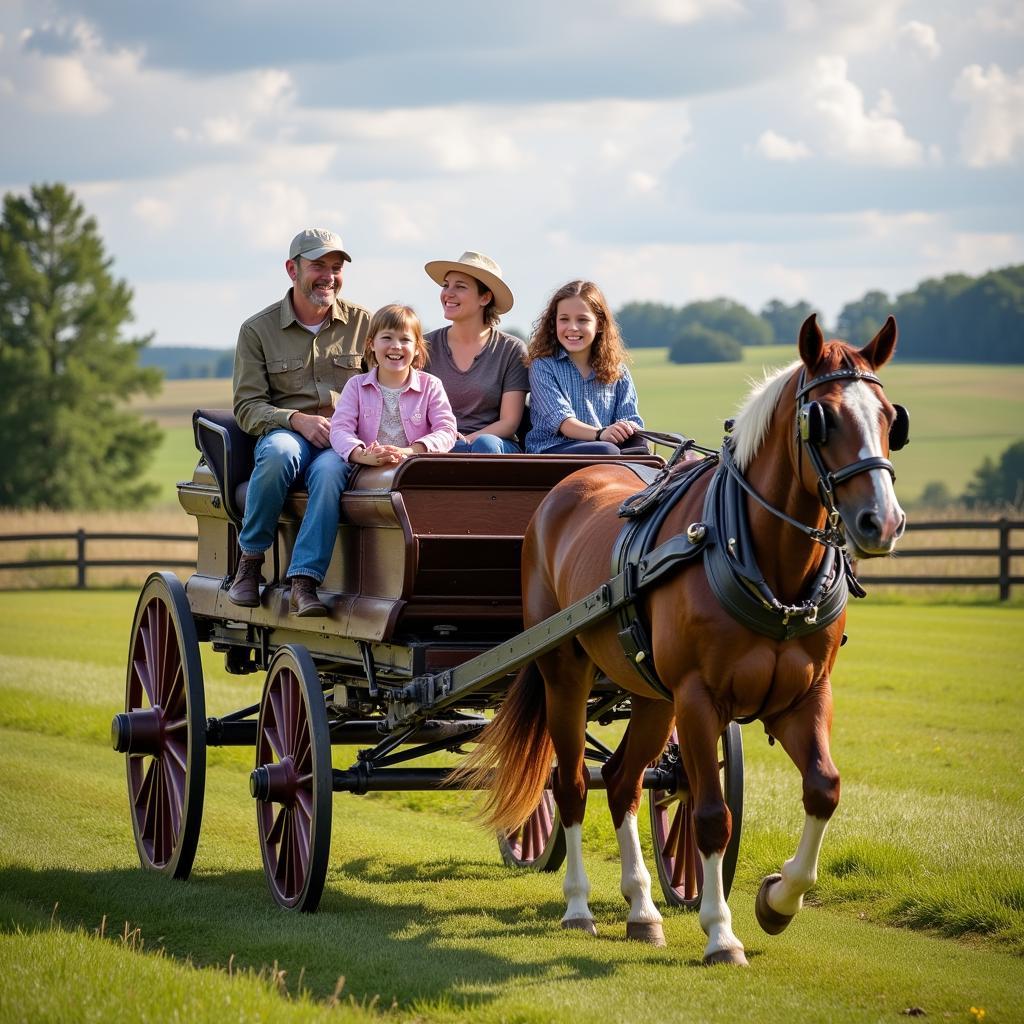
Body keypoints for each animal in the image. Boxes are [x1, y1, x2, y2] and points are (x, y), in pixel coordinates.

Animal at [460, 315, 909, 962]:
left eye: (890, 418)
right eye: (820, 419)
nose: (883, 522)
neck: (759, 559)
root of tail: (562, 491)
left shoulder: (804, 697)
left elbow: (824, 789)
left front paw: (777, 899)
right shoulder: (699, 698)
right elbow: (711, 814)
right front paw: (721, 933)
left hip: (651, 696)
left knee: (623, 781)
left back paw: (642, 909)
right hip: (566, 674)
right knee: (572, 784)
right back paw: (579, 907)